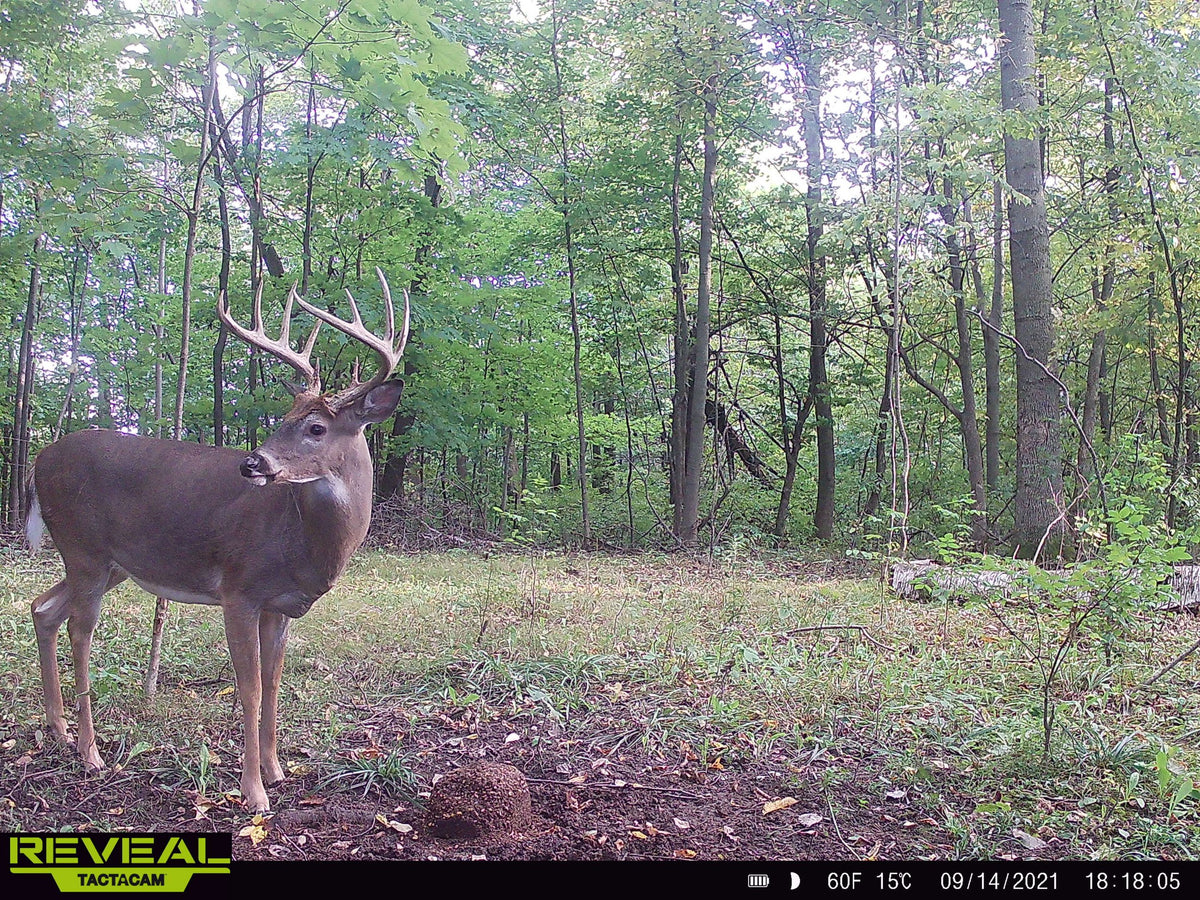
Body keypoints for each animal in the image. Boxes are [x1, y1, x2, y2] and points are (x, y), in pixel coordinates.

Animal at [26, 268, 408, 813]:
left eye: (316, 427)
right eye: (281, 422)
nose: (253, 463)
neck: (303, 542)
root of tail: (37, 462)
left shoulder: (280, 605)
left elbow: (273, 684)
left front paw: (276, 770)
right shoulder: (239, 589)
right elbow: (248, 689)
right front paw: (253, 792)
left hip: (112, 563)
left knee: (43, 608)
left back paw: (58, 731)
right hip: (84, 549)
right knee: (80, 630)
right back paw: (90, 752)